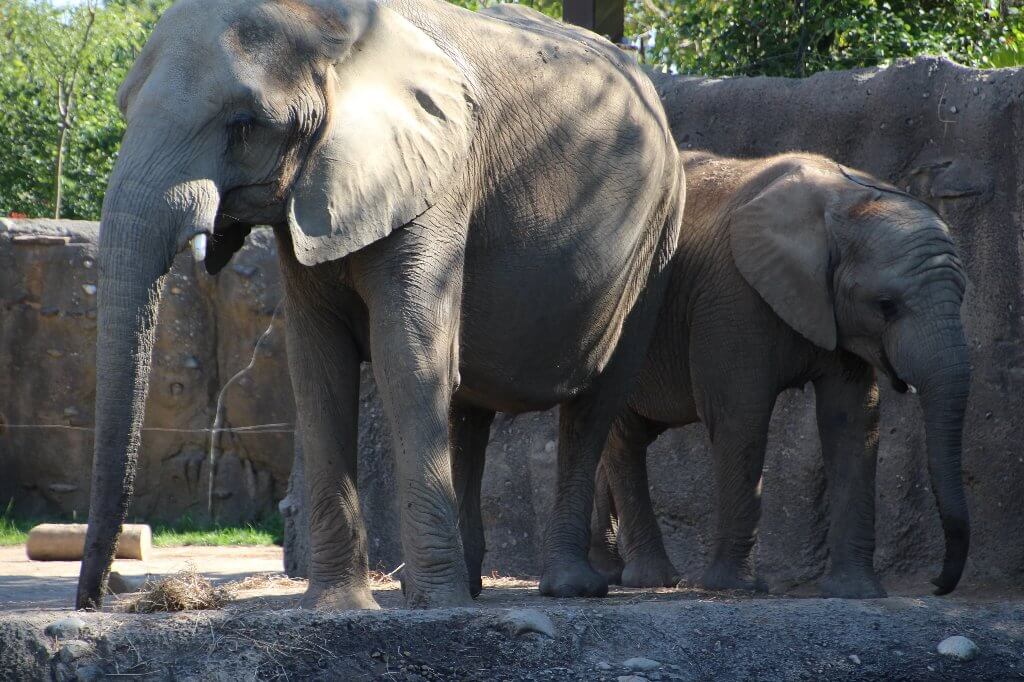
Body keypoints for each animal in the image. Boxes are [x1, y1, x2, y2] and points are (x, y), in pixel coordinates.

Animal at [75, 0, 684, 606]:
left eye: (244, 126)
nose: (97, 600)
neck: (337, 31)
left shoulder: (438, 179)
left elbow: (406, 353)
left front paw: (435, 610)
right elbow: (318, 366)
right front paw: (339, 608)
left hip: (654, 242)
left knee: (596, 403)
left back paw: (564, 588)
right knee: (467, 409)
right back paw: (464, 584)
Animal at [589, 150, 970, 593]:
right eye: (886, 305)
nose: (937, 584)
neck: (844, 200)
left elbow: (851, 422)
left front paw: (855, 593)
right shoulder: (733, 293)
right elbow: (740, 417)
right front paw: (733, 588)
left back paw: (609, 573)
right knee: (625, 439)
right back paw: (653, 579)